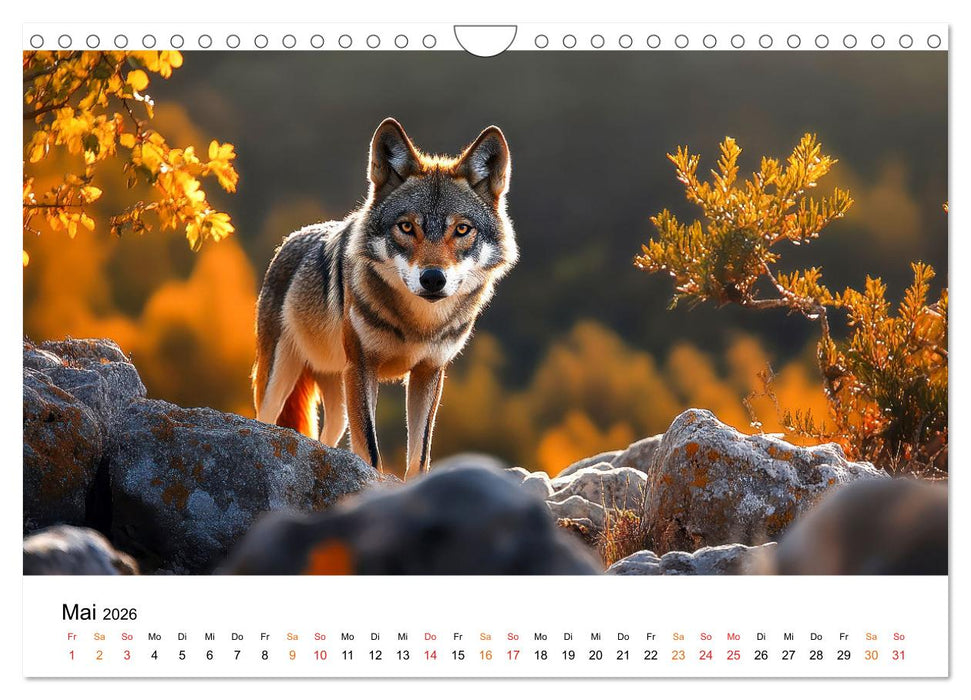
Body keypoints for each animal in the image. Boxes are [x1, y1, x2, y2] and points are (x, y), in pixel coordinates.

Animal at [252, 118, 517, 477]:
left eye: (462, 229)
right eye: (406, 227)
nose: (433, 278)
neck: (419, 324)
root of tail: (288, 242)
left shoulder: (429, 373)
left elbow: (419, 456)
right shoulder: (362, 367)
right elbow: (370, 449)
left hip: (337, 402)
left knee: (325, 440)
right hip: (279, 383)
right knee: (263, 420)